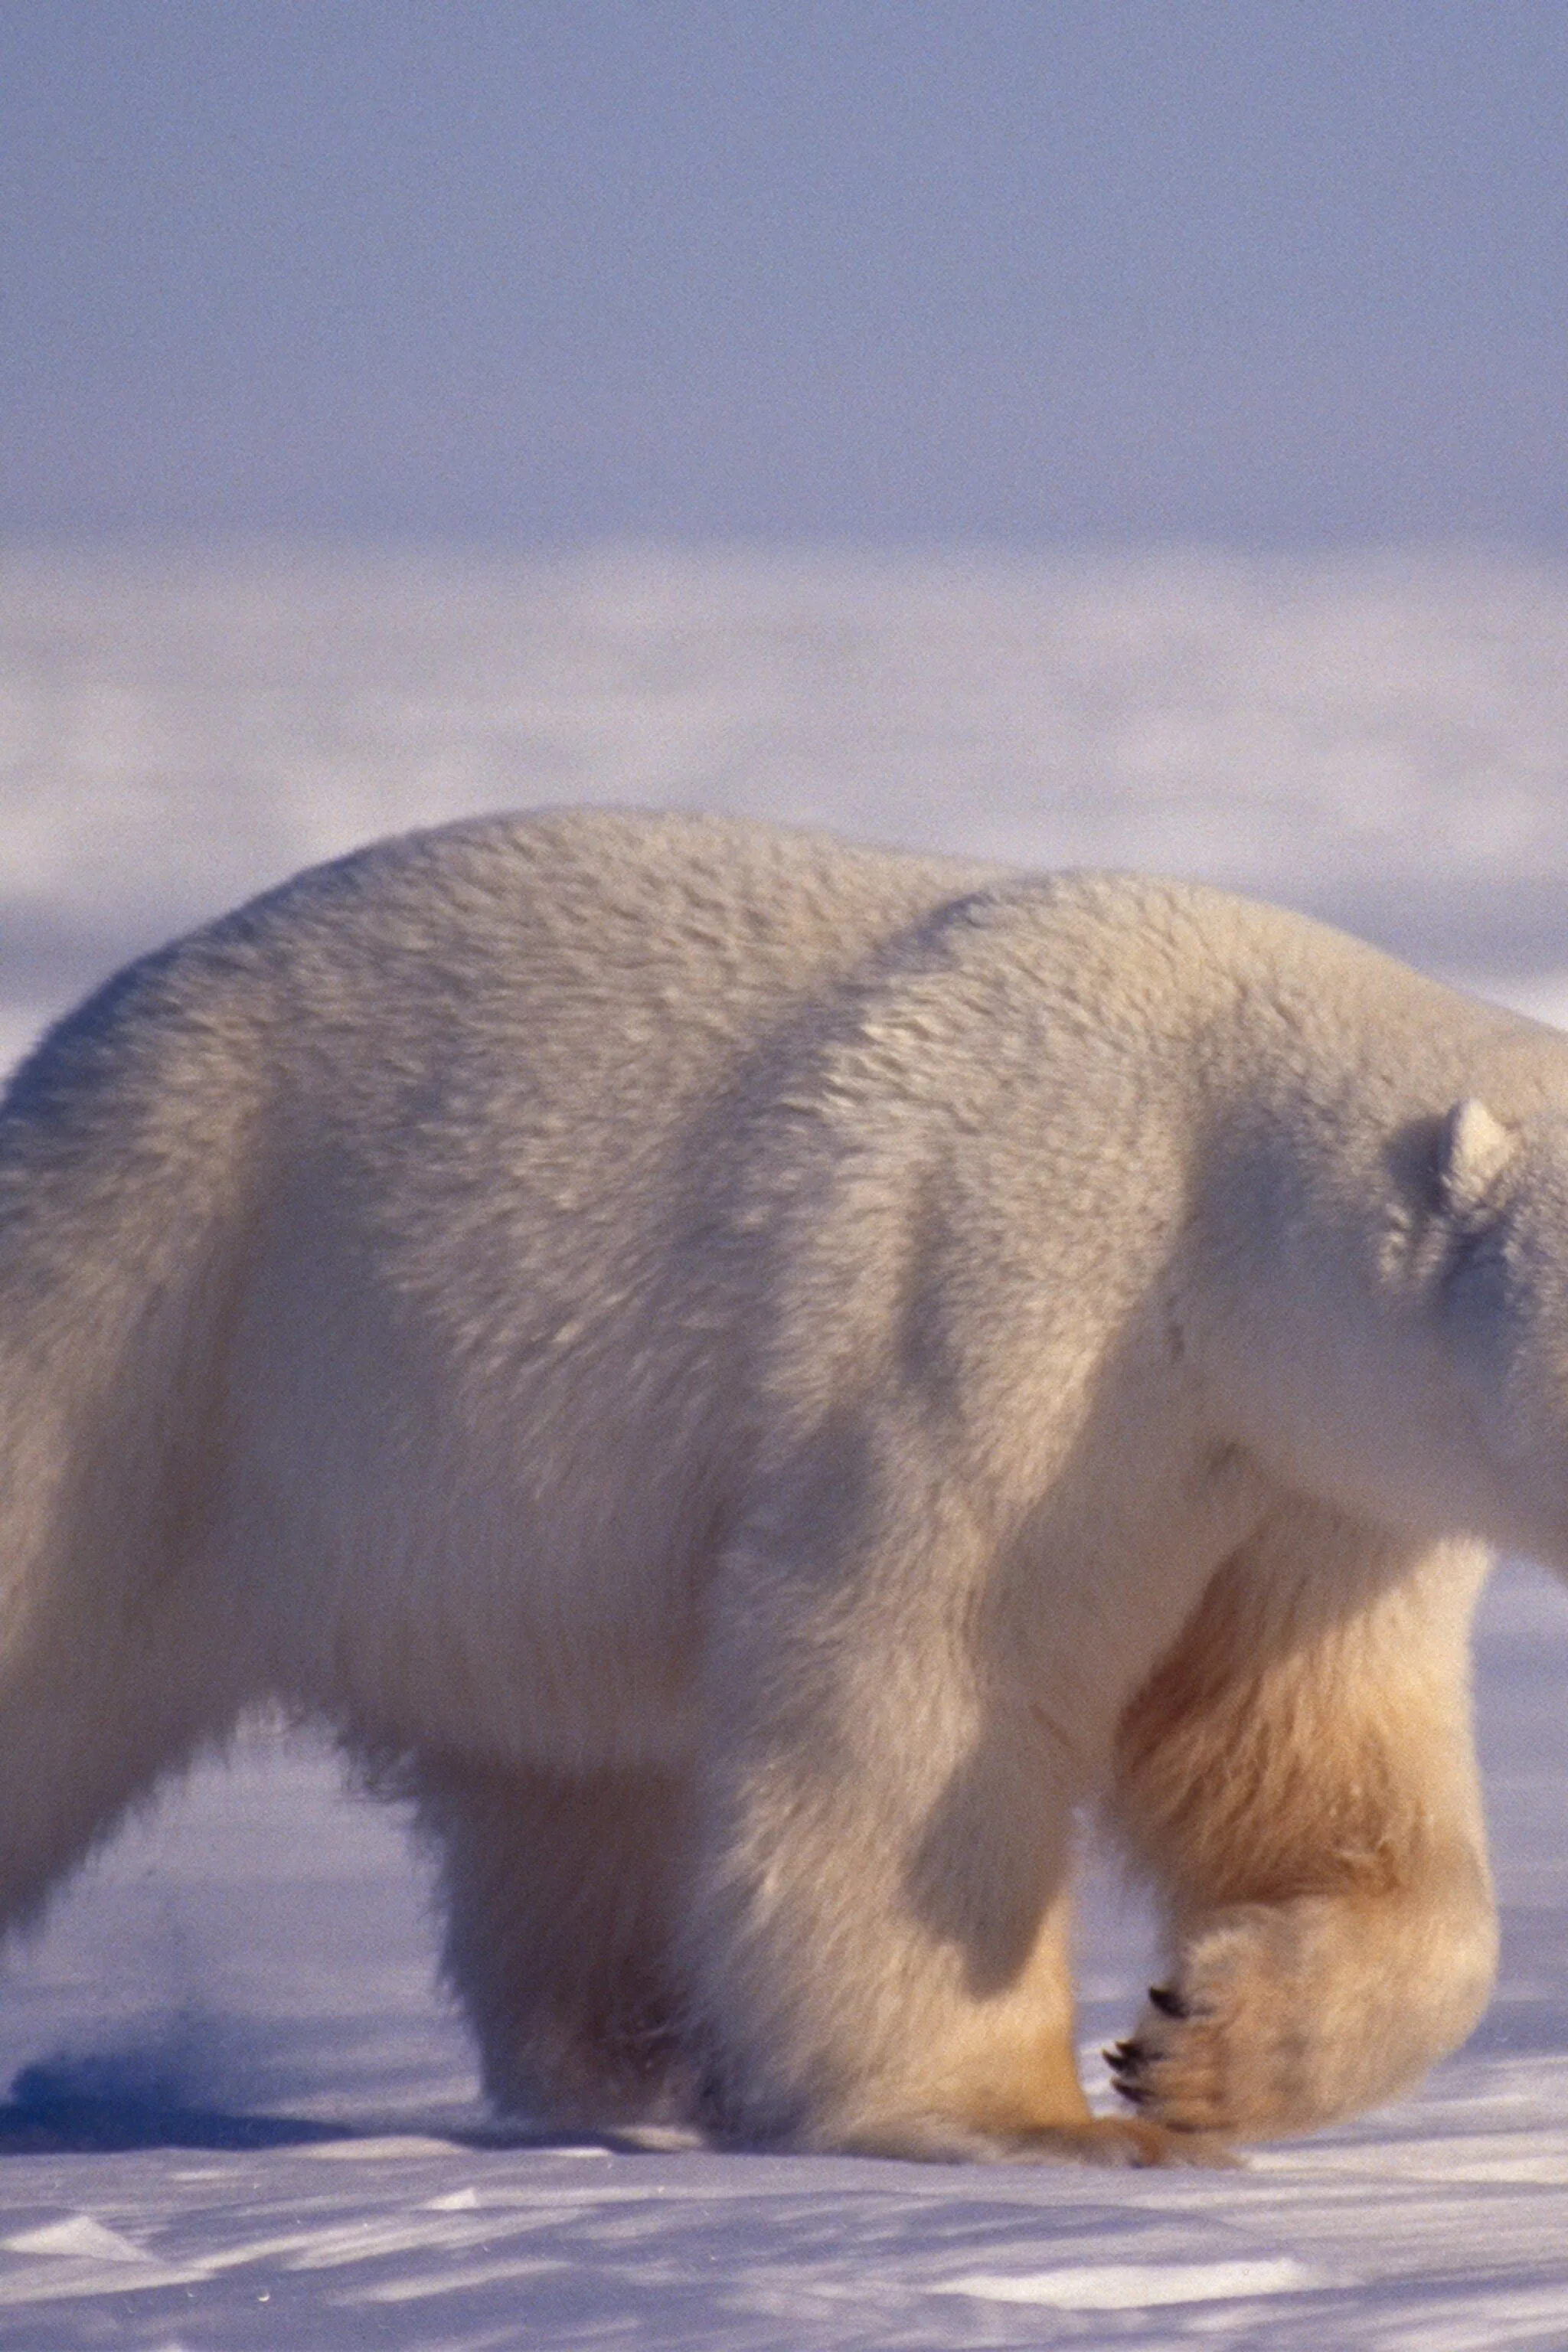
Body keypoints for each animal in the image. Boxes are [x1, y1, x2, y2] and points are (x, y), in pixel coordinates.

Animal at [0, 803, 1556, 2164]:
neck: (1204, 1178)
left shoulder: (1312, 1494)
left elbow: (1300, 1748)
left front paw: (1202, 2040)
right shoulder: (1007, 1323)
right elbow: (922, 1682)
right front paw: (1043, 2121)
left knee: (576, 1806)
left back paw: (660, 2058)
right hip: (158, 1320)